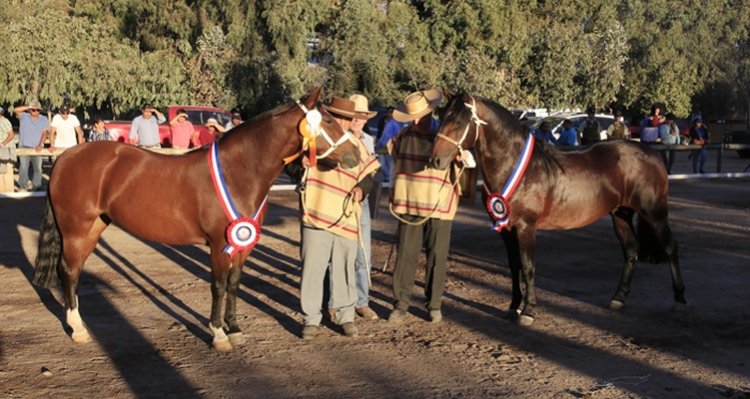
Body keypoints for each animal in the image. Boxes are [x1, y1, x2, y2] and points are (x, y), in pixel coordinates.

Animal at [33, 89, 362, 352]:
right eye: (328, 122)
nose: (356, 156)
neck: (238, 171)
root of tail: (66, 158)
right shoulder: (219, 244)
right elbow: (217, 285)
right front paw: (218, 335)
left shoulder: (243, 244)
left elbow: (234, 284)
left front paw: (234, 329)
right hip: (76, 229)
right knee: (68, 271)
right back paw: (78, 330)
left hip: (94, 227)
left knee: (74, 271)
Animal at [434, 94, 688, 328]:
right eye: (441, 116)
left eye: (458, 122)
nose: (435, 160)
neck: (514, 165)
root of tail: (651, 154)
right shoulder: (505, 229)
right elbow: (514, 265)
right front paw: (513, 306)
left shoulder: (526, 227)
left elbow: (527, 266)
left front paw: (528, 311)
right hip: (621, 214)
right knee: (631, 250)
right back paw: (618, 298)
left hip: (654, 213)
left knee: (670, 247)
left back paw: (680, 300)